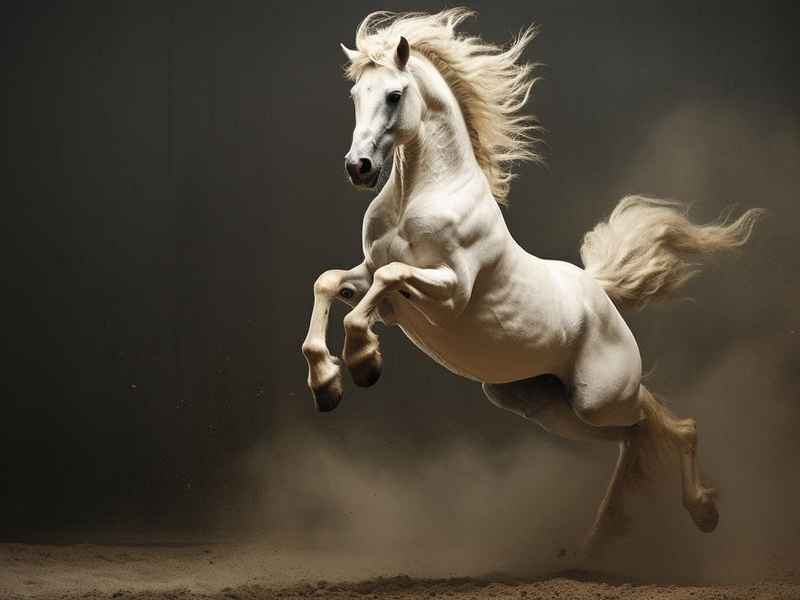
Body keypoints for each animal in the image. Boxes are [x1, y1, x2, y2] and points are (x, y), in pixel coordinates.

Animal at [301, 9, 762, 550]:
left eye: (394, 94)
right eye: (356, 95)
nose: (359, 167)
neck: (418, 196)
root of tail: (598, 291)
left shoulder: (449, 291)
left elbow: (384, 283)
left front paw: (363, 361)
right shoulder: (374, 281)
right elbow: (331, 283)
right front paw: (327, 382)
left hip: (599, 396)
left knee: (666, 422)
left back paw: (699, 510)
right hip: (547, 407)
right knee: (635, 436)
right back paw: (603, 534)